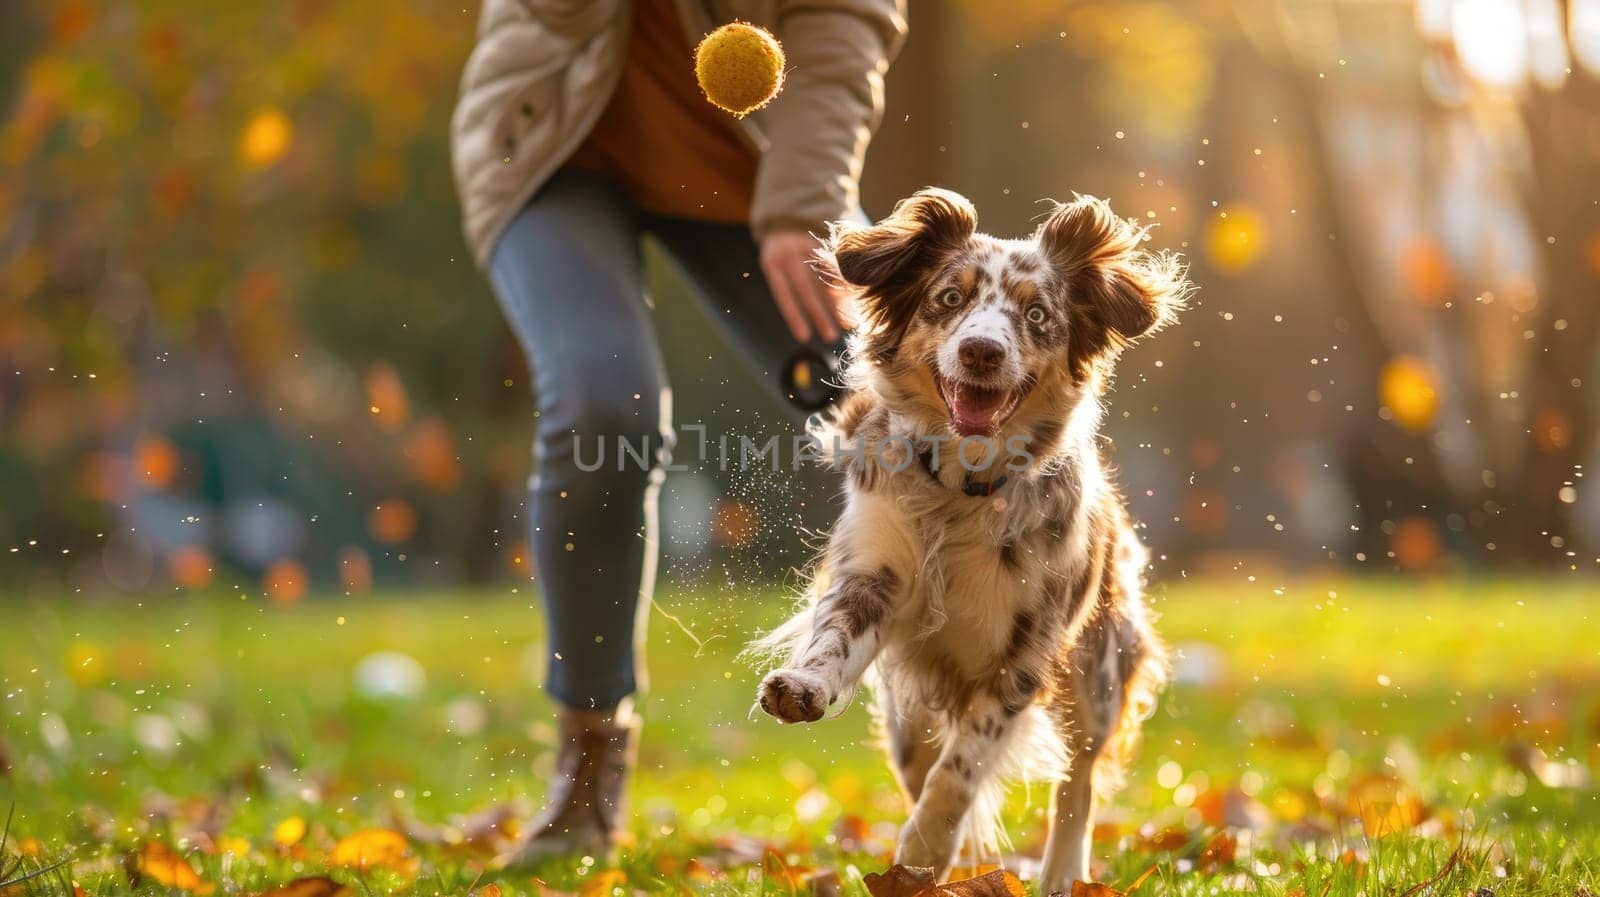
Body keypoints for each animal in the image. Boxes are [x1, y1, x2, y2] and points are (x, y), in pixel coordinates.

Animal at [748, 183, 1190, 889]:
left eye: (1036, 314)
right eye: (949, 299)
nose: (982, 350)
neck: (959, 493)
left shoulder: (1027, 648)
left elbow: (962, 770)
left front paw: (925, 848)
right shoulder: (874, 572)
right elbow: (835, 639)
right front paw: (804, 685)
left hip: (1098, 675)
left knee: (1078, 779)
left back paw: (1061, 874)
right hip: (906, 714)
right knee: (917, 759)